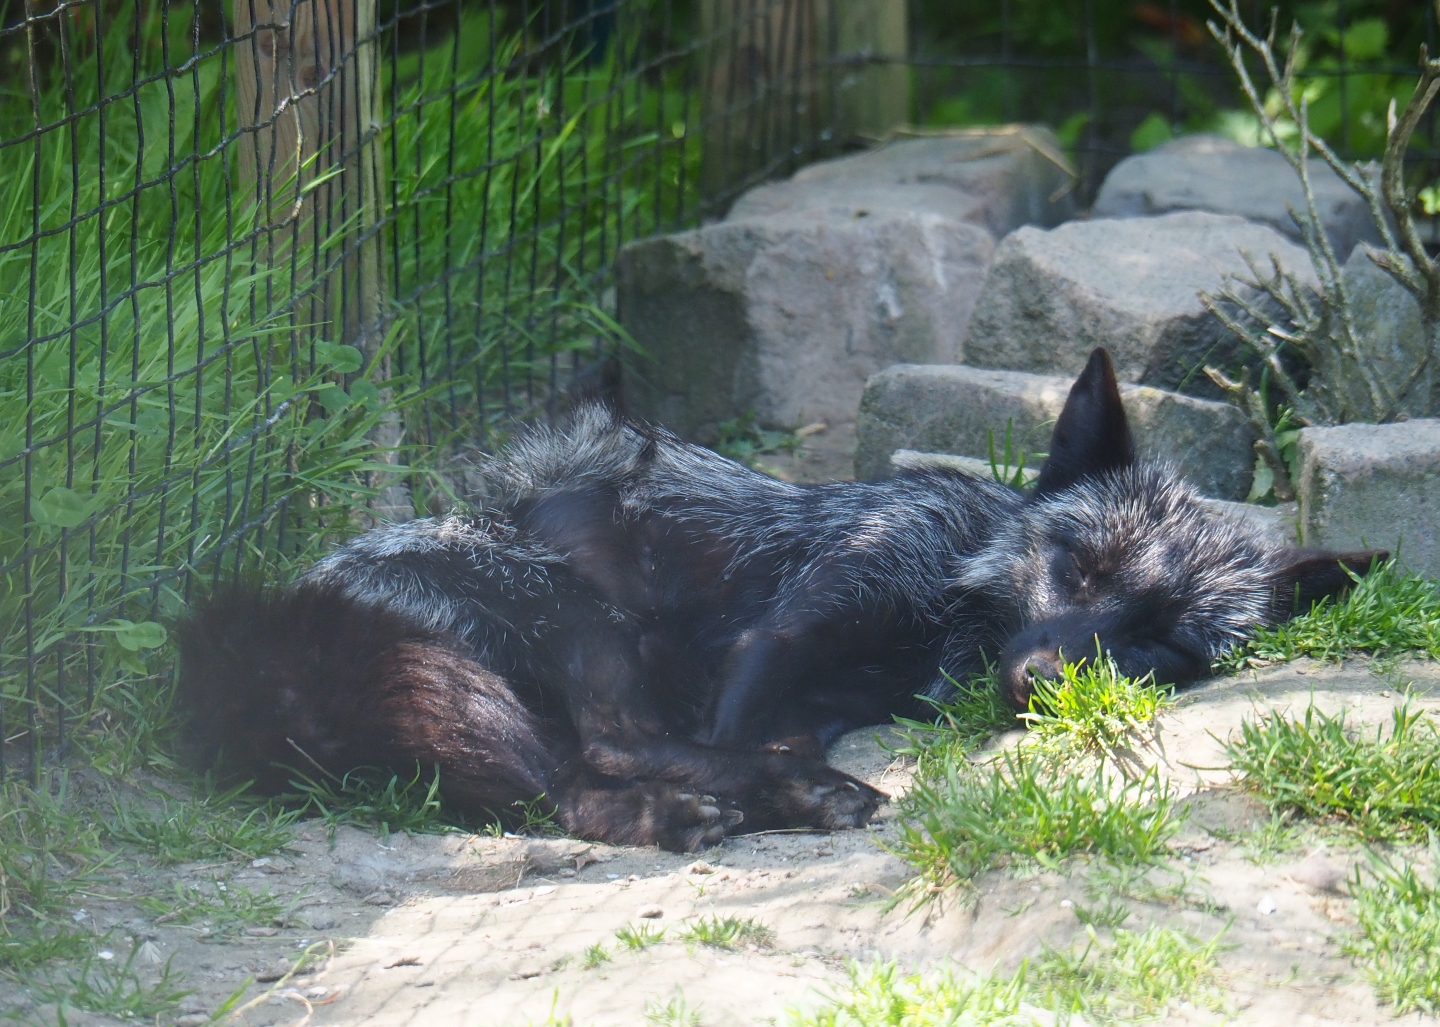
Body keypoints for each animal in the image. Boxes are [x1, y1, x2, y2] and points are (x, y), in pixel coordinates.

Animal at [177, 348, 1381, 851]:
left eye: (1161, 647)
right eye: (1079, 567)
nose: (1046, 682)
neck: (952, 598)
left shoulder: (821, 692)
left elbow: (753, 738)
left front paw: (781, 778)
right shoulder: (792, 623)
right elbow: (728, 731)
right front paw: (777, 781)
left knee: (581, 773)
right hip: (569, 614)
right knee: (600, 757)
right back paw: (754, 804)